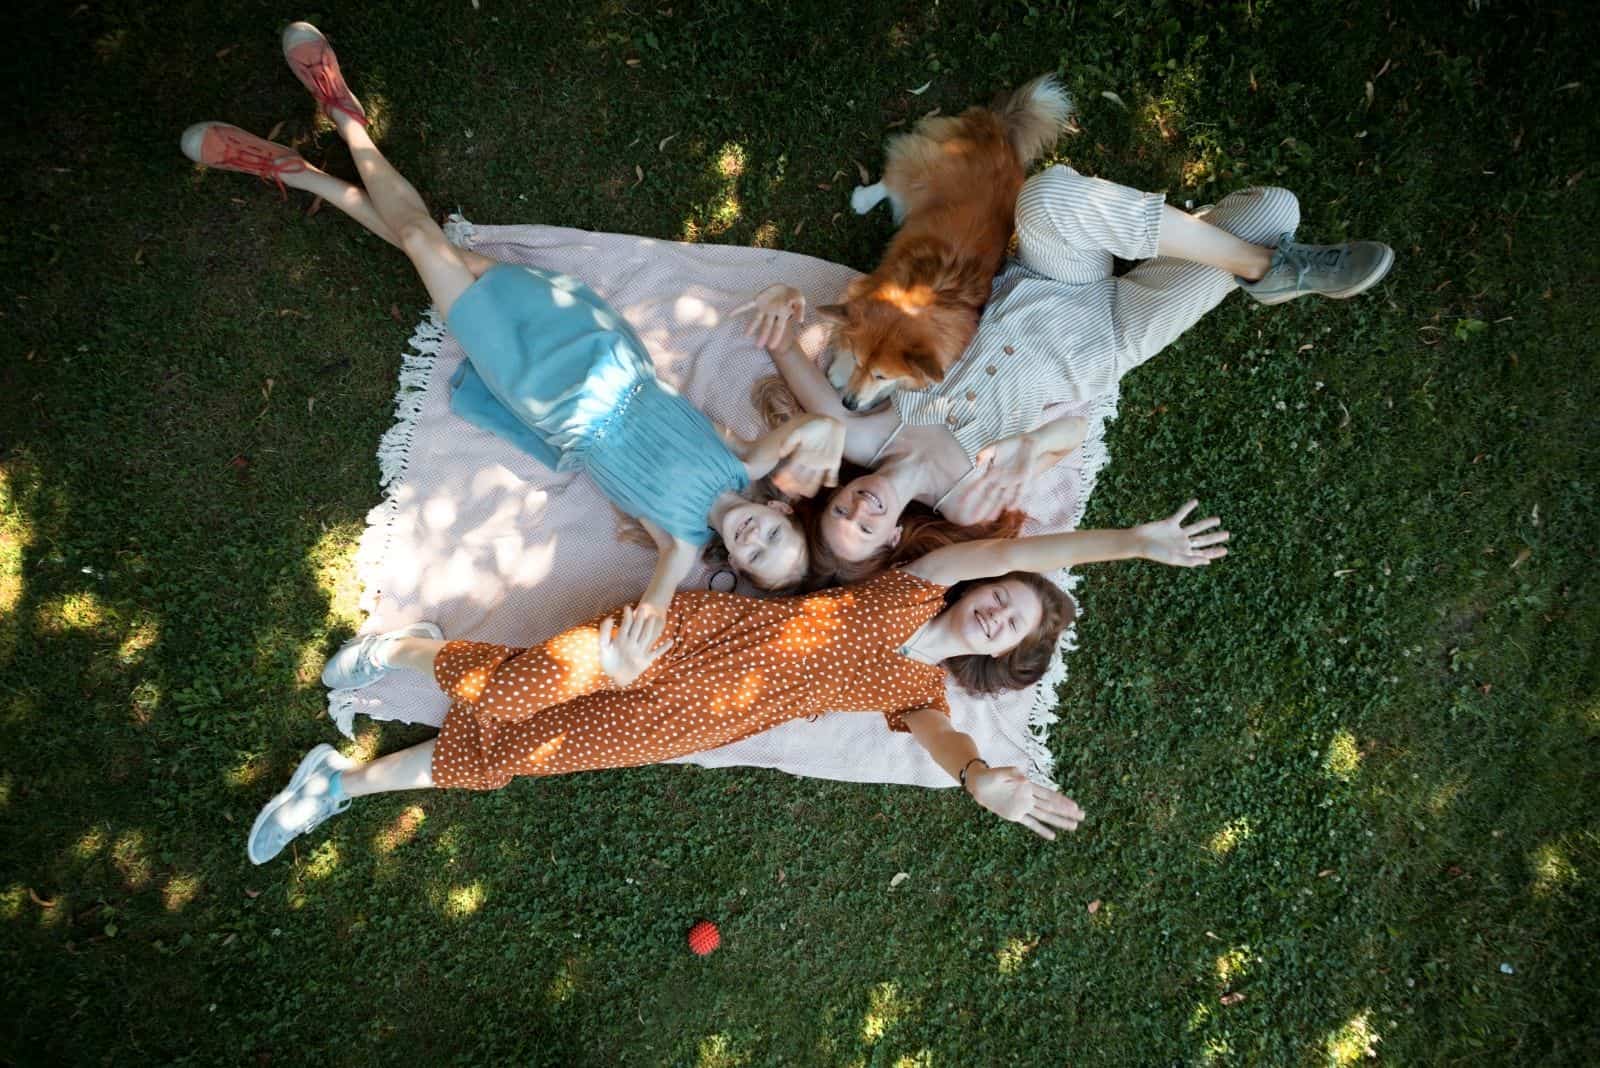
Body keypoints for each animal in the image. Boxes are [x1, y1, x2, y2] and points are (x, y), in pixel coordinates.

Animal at [819, 75, 1068, 409]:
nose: (848, 404)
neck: (923, 293)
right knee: (892, 179)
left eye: (881, 376)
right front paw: (840, 368)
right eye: (860, 361)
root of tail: (998, 129)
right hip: (923, 171)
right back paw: (863, 199)